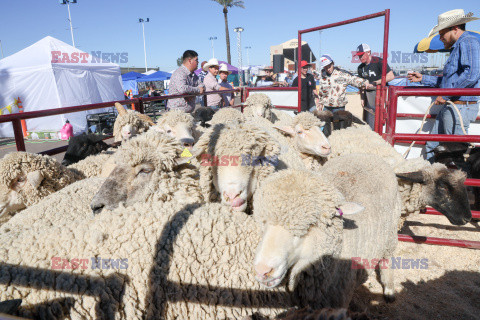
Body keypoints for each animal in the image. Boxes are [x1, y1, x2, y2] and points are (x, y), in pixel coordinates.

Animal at [253, 154, 404, 308]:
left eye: (310, 225)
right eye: (263, 222)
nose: (262, 271)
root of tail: (371, 157)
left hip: (390, 234)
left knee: (387, 260)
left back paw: (389, 289)